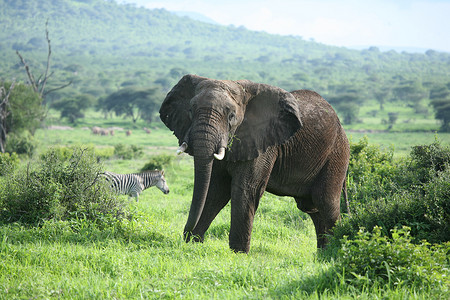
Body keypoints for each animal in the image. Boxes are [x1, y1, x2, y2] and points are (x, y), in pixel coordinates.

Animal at [160, 75, 350, 253]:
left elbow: (245, 189)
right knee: (312, 208)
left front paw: (238, 254)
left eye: (231, 116)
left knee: (325, 203)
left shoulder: (263, 142)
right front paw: (194, 244)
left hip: (337, 154)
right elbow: (215, 189)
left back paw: (333, 253)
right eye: (190, 111)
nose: (186, 235)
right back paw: (322, 255)